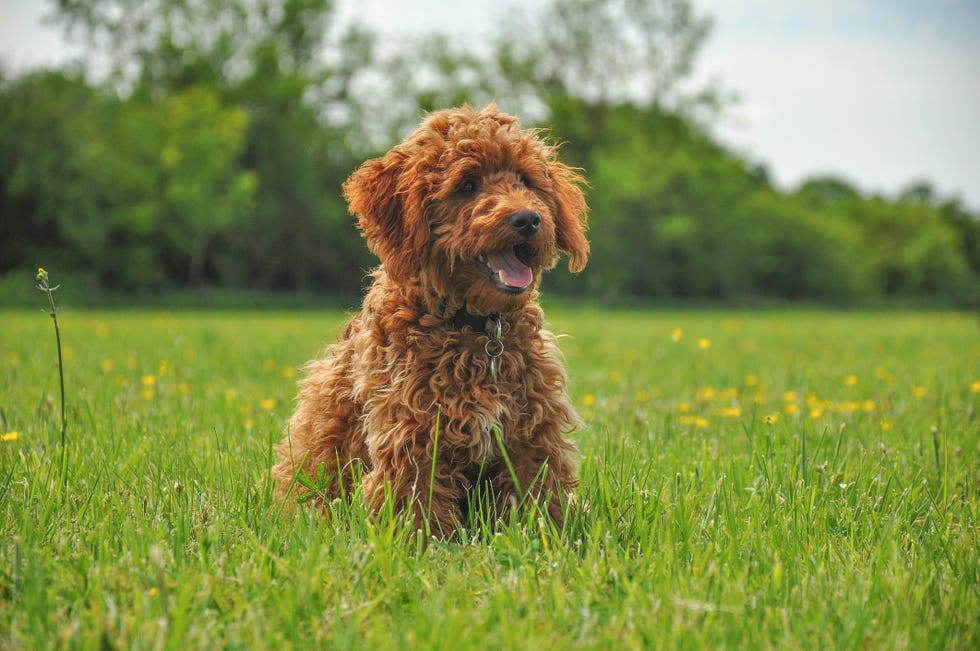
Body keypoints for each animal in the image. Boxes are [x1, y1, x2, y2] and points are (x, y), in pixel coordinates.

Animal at [270, 104, 588, 536]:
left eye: (525, 180)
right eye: (467, 185)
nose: (527, 220)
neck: (478, 329)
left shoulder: (532, 432)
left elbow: (538, 497)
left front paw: (545, 536)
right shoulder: (413, 433)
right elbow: (416, 505)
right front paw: (425, 545)